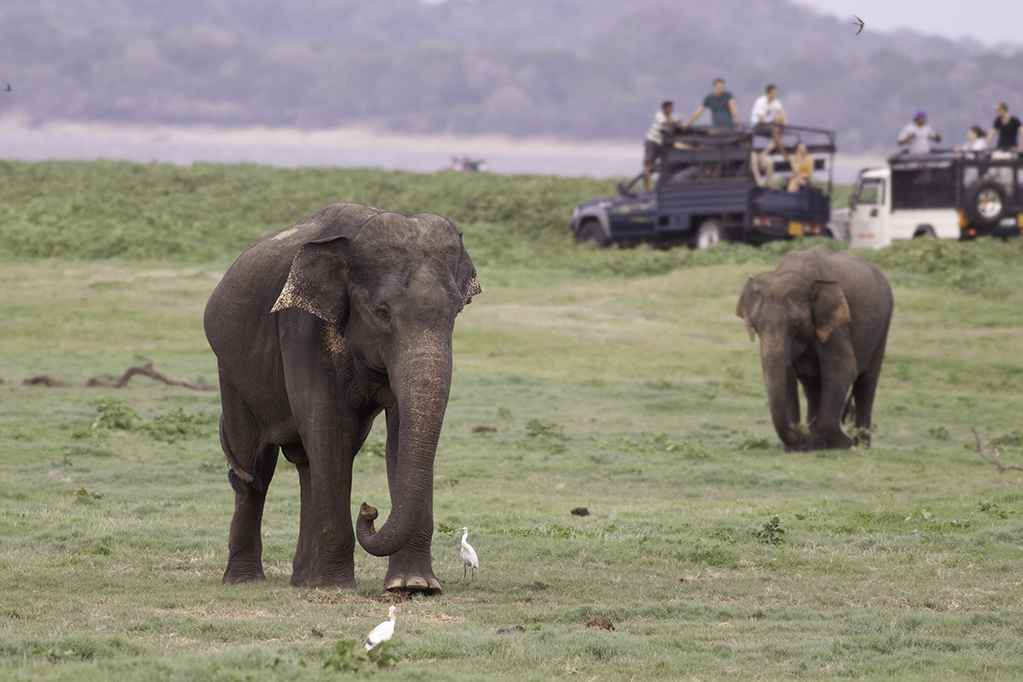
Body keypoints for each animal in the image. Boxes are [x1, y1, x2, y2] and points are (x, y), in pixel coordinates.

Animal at [203, 202, 481, 593]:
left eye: (456, 311)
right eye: (383, 311)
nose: (369, 509)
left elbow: (397, 434)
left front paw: (414, 586)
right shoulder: (302, 328)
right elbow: (329, 428)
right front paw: (334, 587)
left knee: (307, 463)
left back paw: (301, 581)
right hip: (231, 373)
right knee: (256, 464)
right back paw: (245, 581)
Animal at [736, 245, 892, 451]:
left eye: (796, 324)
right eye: (755, 325)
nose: (795, 428)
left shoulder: (835, 325)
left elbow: (842, 370)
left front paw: (842, 443)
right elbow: (788, 376)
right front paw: (802, 445)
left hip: (884, 324)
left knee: (866, 382)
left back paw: (861, 445)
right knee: (813, 385)